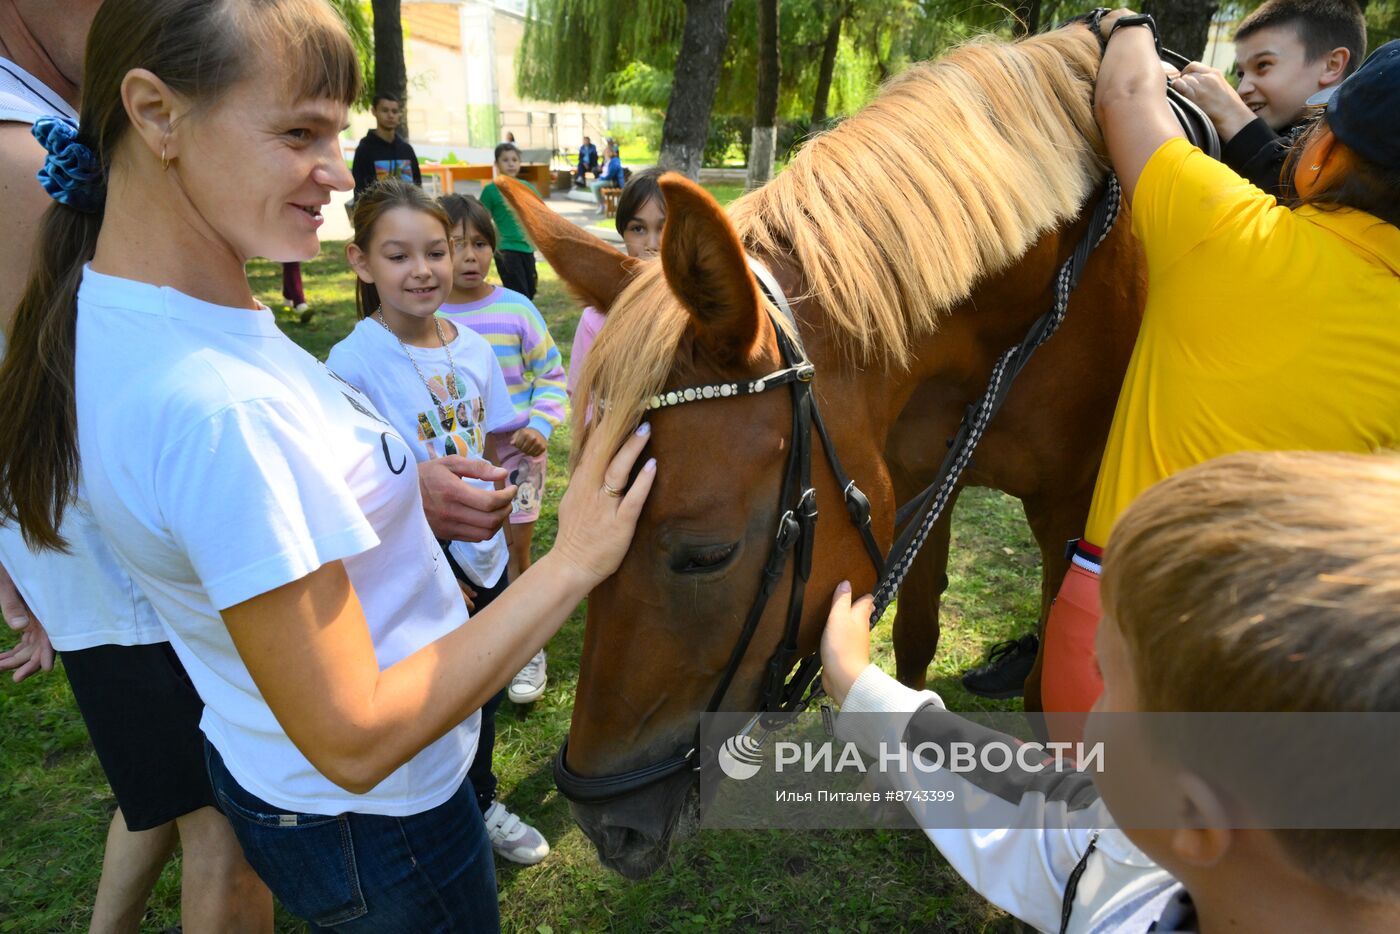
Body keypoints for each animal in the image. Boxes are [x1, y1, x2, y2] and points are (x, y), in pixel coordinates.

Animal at [504, 23, 1148, 884]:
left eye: (707, 555)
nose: (608, 828)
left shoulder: (1070, 515)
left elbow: (1054, 692)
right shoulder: (915, 480)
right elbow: (915, 633)